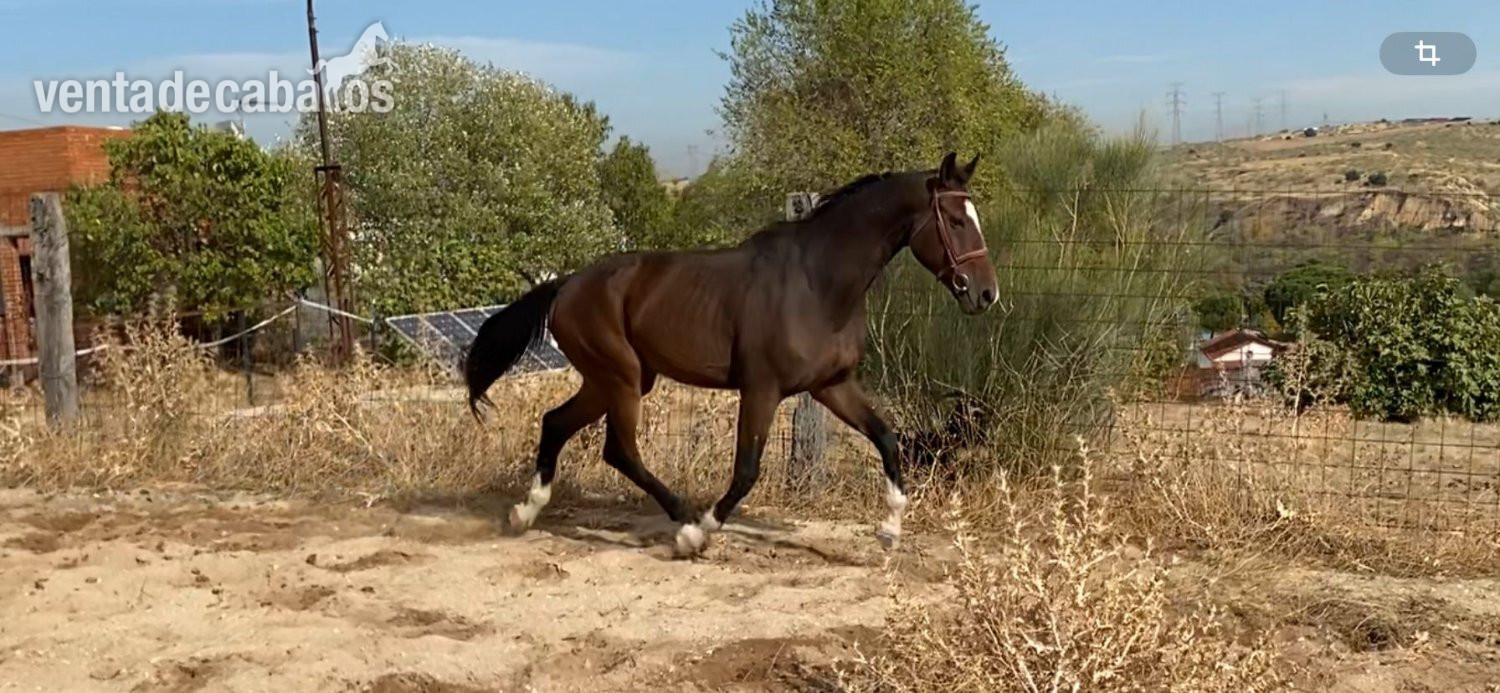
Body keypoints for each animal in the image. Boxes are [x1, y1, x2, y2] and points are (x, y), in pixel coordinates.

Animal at [464, 151, 998, 557]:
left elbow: (886, 439)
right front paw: (701, 531)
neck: (818, 282)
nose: (985, 294)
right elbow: (746, 471)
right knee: (619, 449)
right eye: (955, 221)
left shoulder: (831, 386)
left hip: (612, 379)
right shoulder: (761, 389)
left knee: (557, 423)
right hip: (622, 378)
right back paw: (682, 524)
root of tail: (566, 284)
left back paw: (524, 513)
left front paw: (889, 530)